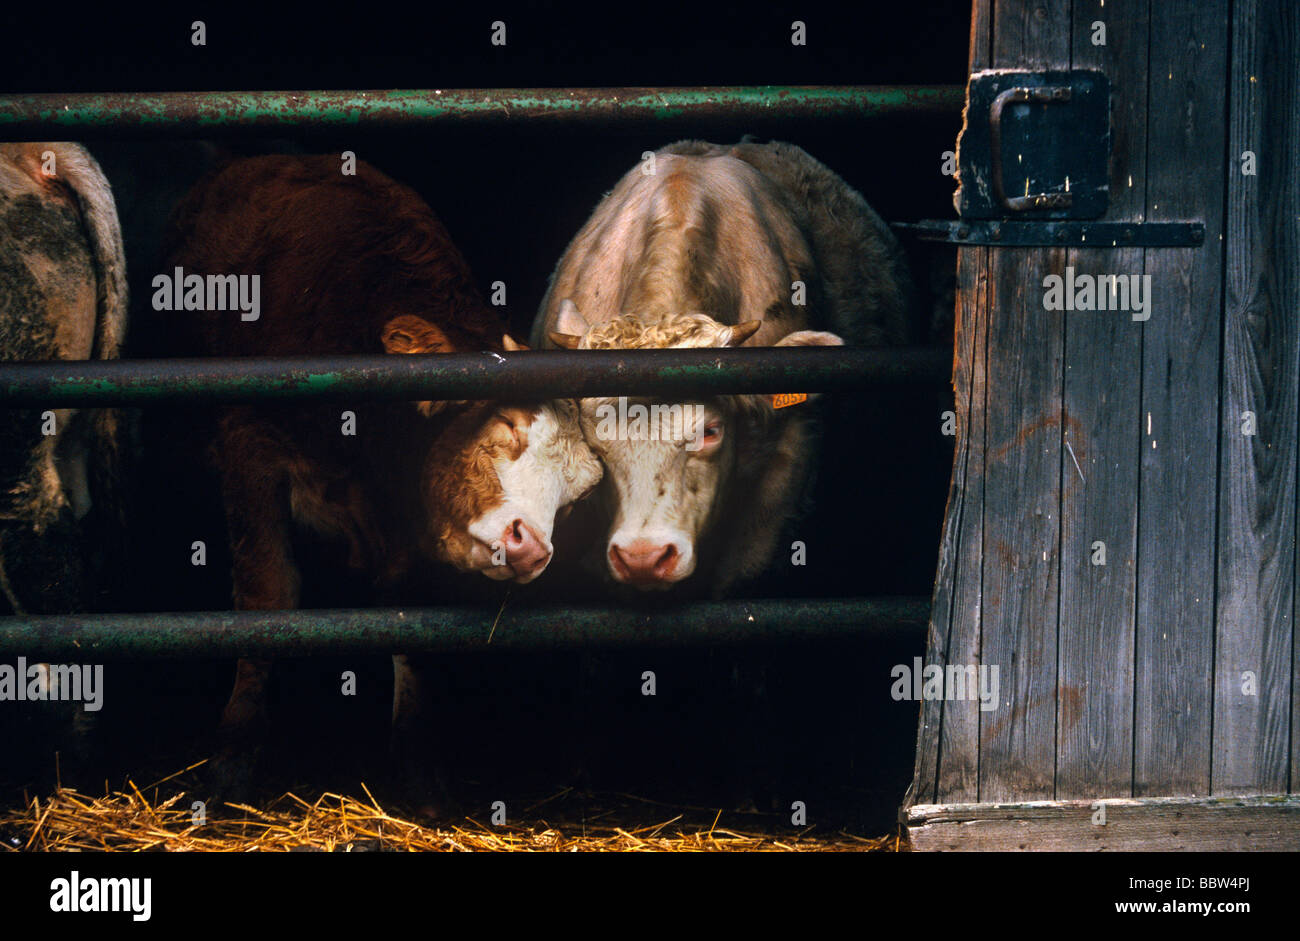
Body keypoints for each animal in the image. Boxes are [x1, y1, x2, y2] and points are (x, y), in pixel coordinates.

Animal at [162, 154, 600, 799]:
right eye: (504, 426)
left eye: (576, 498)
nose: (530, 547)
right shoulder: (249, 447)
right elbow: (267, 592)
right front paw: (232, 758)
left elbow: (404, 608)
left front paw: (418, 767)